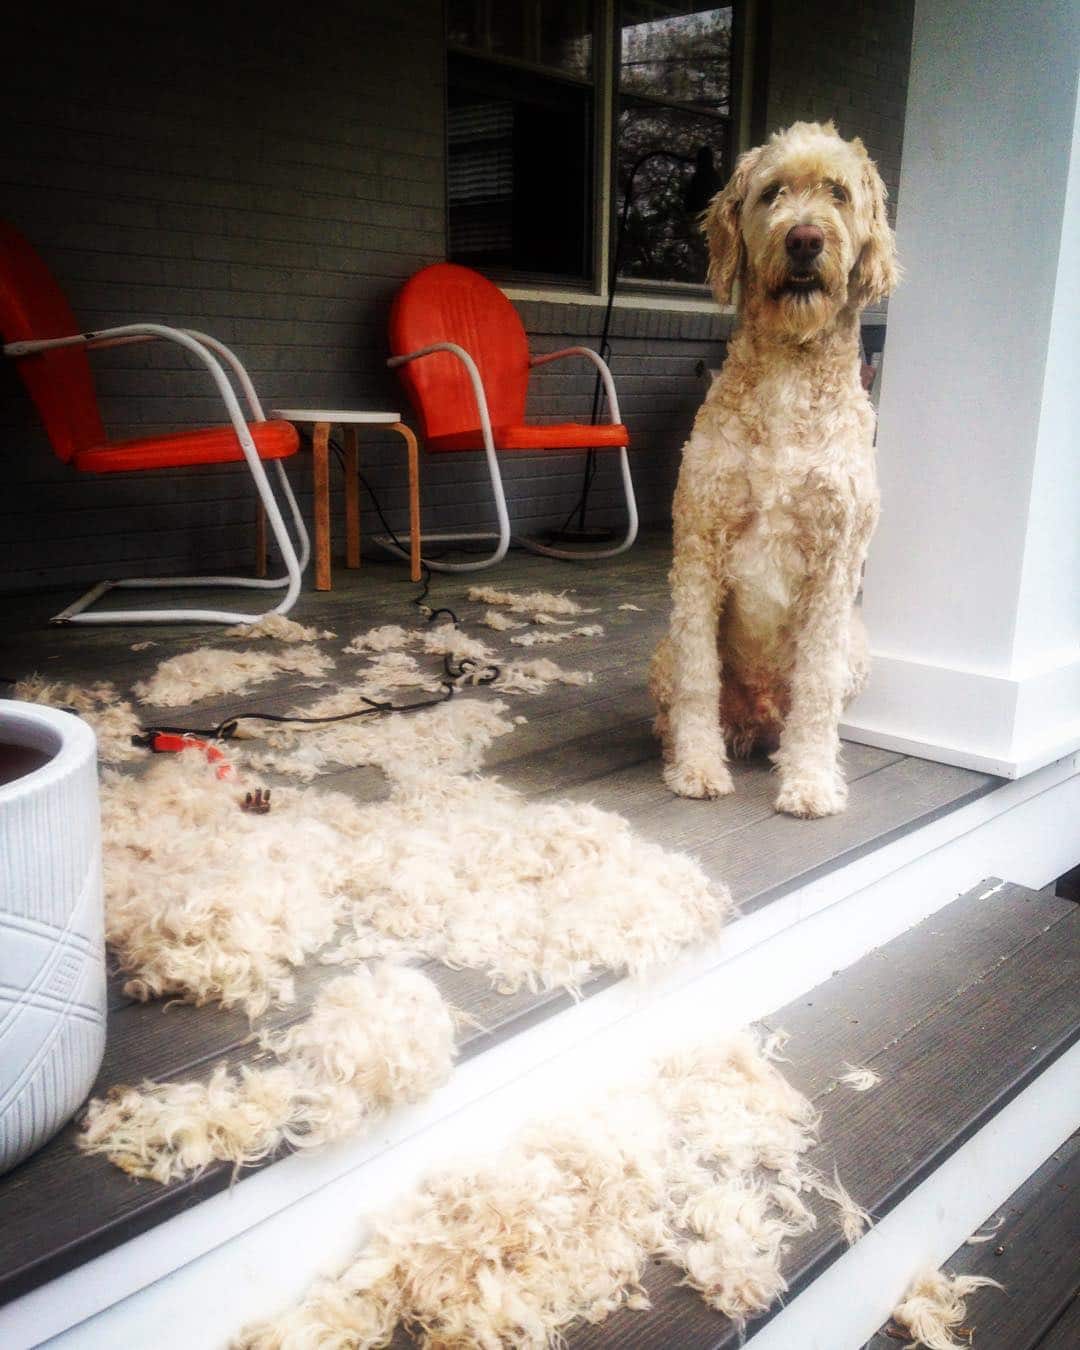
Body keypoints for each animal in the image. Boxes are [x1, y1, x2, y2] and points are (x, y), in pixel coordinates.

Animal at [653, 121, 896, 815]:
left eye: (838, 193)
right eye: (772, 193)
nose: (804, 238)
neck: (789, 368)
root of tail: (757, 717)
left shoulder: (834, 563)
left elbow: (814, 688)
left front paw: (809, 781)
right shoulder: (699, 545)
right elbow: (698, 679)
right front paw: (698, 768)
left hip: (856, 647)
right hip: (662, 645)